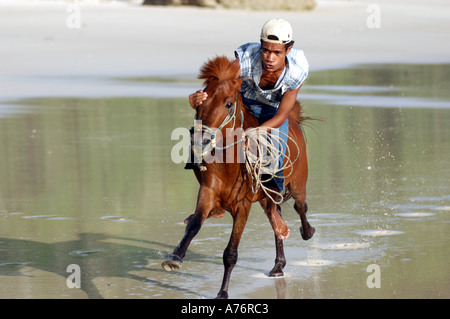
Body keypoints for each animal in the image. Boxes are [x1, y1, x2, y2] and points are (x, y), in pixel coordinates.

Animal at [163, 55, 314, 300]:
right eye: (200, 103)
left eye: (228, 104)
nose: (200, 140)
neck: (229, 163)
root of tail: (293, 119)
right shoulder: (208, 192)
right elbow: (194, 225)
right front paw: (175, 257)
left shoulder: (242, 205)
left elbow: (230, 253)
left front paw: (223, 292)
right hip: (266, 196)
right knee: (274, 213)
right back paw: (278, 262)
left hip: (298, 184)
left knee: (300, 207)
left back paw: (306, 232)